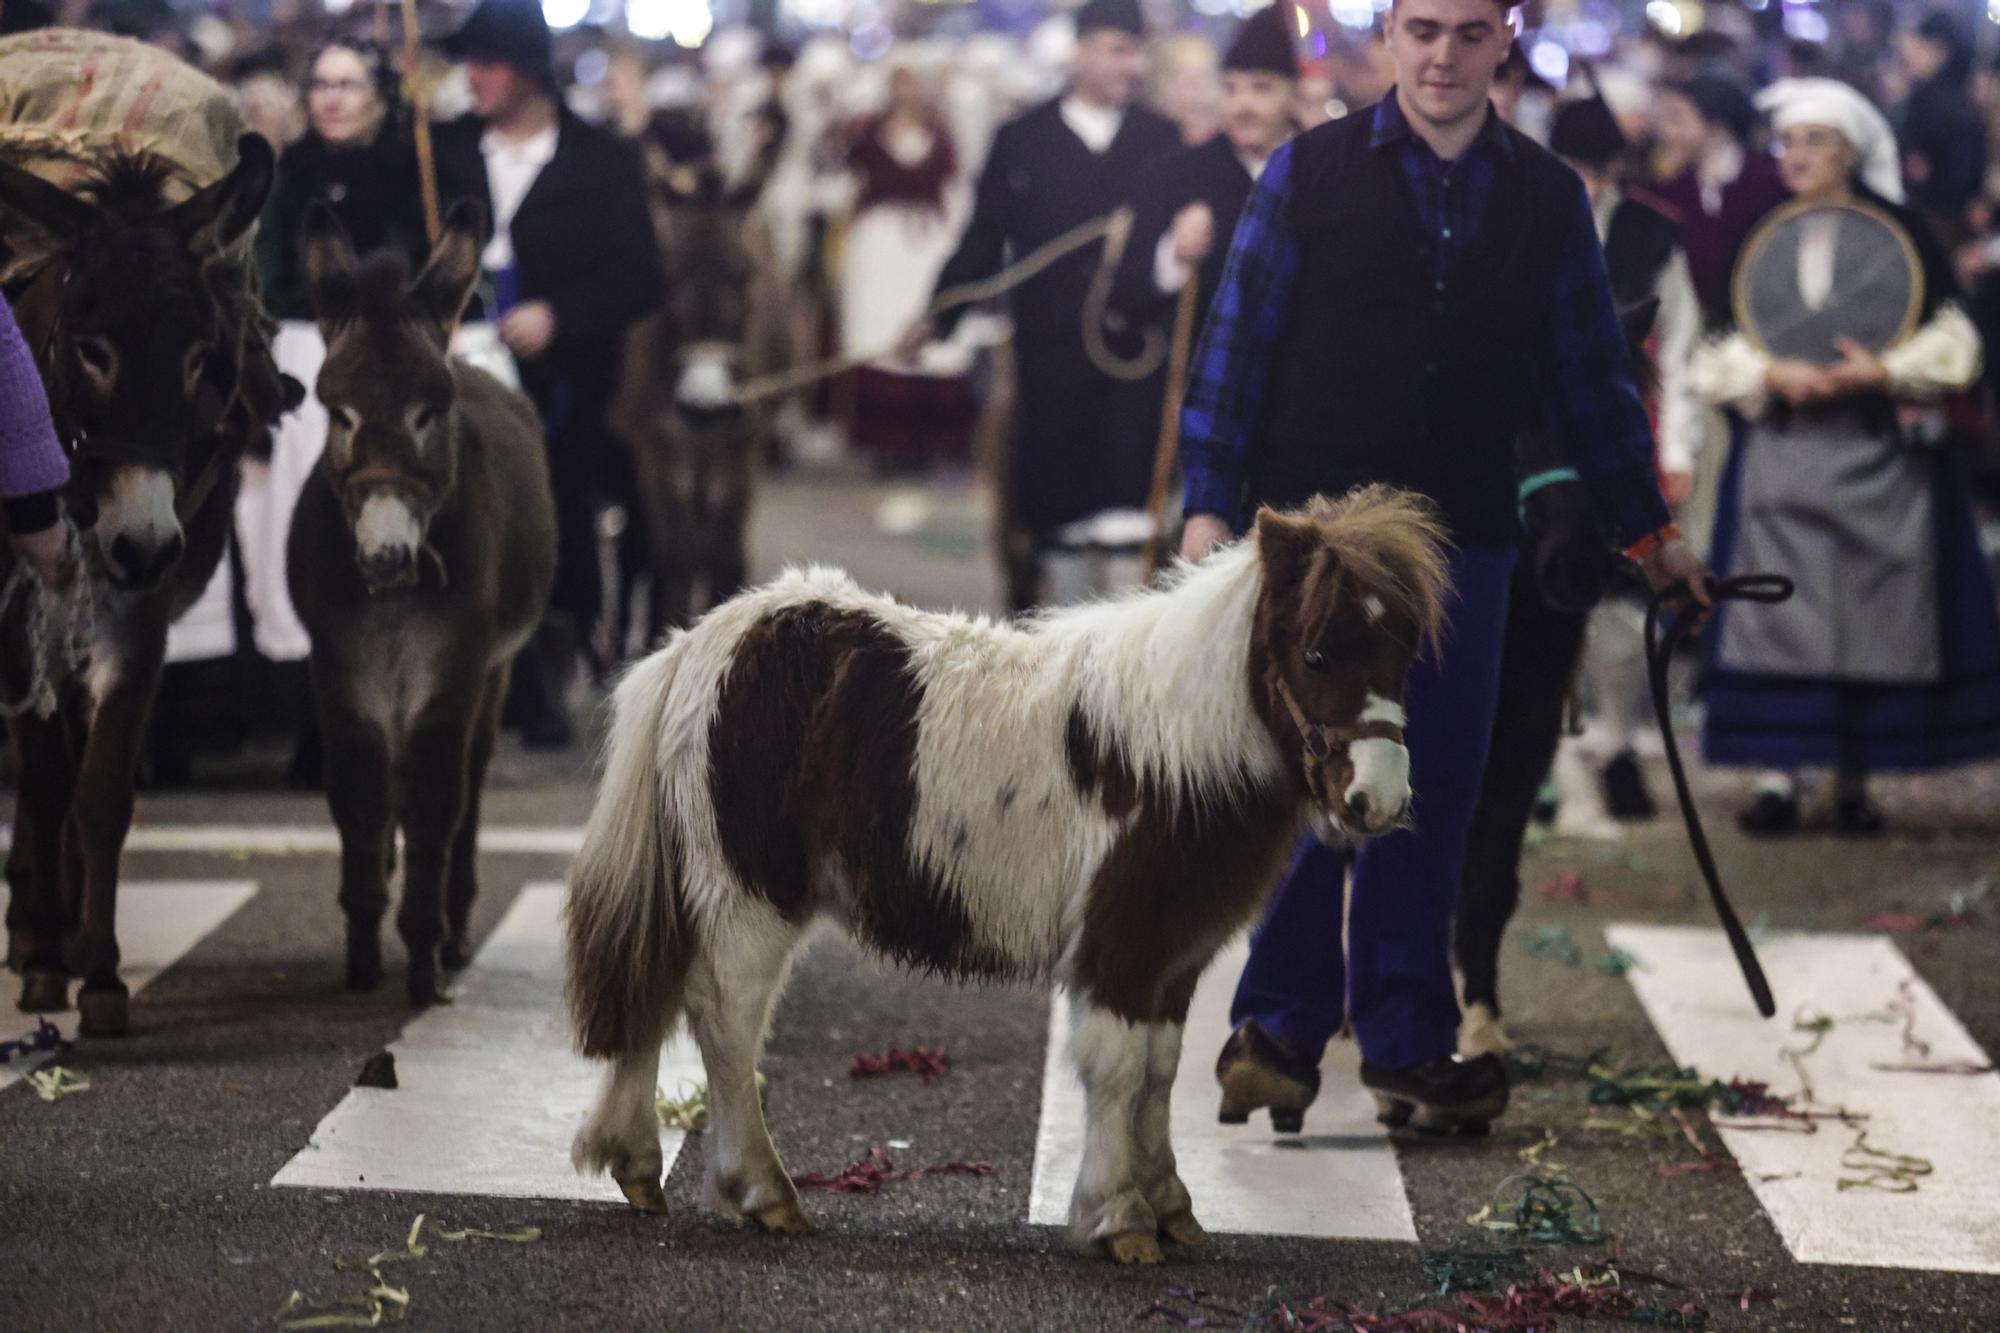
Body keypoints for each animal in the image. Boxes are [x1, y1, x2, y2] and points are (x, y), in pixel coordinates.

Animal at [564, 482, 1456, 1264]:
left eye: (1406, 653)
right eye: (1317, 650)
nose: (1379, 799)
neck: (1176, 752)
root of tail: (699, 644)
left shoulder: (1172, 956)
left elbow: (1162, 1072)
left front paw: (1171, 1205)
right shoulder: (1121, 947)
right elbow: (1119, 1070)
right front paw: (1121, 1219)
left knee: (656, 994)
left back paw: (638, 1164)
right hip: (752, 894)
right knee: (724, 1018)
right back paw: (763, 1191)